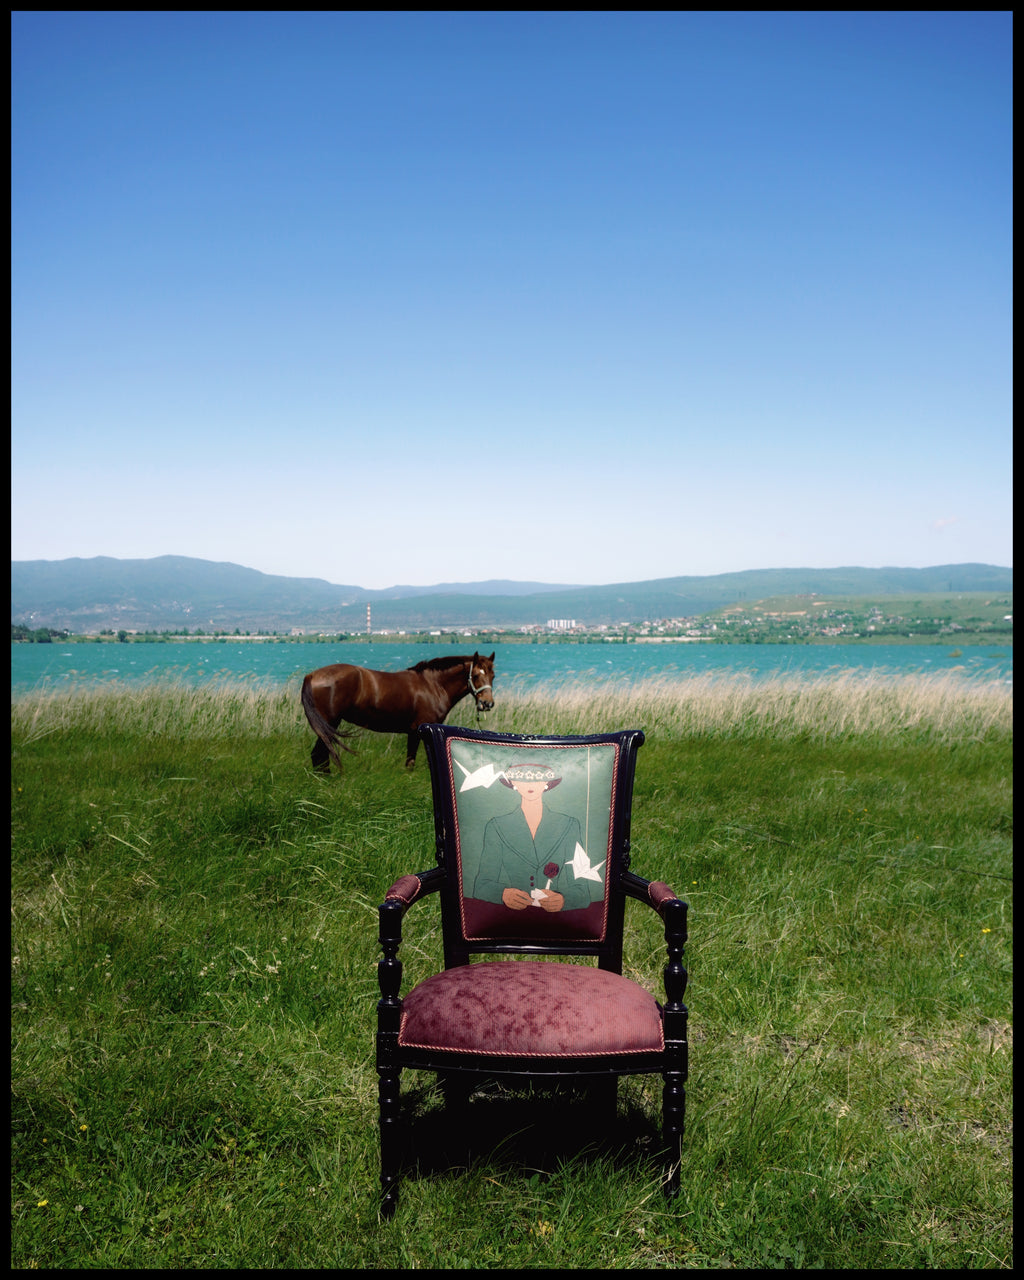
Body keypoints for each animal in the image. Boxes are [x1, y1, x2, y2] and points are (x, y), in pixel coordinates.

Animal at [300, 652, 496, 773]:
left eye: (492, 676)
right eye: (476, 675)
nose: (487, 703)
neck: (433, 685)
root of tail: (312, 676)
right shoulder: (417, 731)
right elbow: (410, 762)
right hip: (329, 724)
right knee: (319, 755)